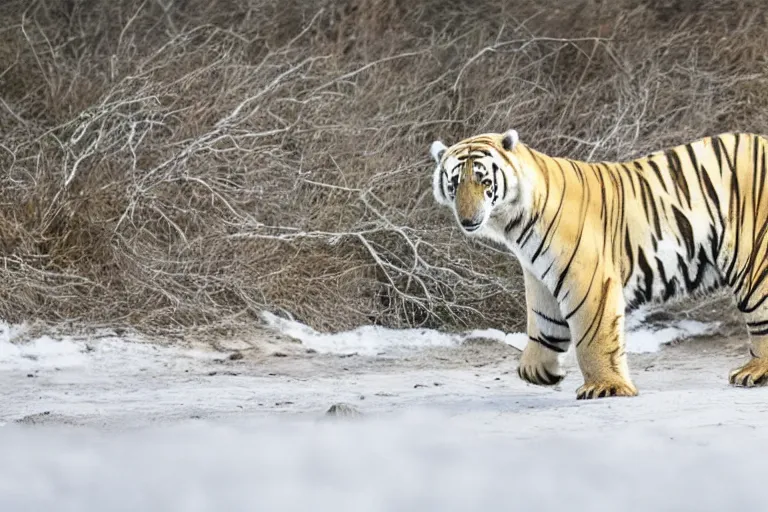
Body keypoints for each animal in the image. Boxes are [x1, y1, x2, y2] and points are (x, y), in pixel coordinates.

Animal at [428, 129, 768, 400]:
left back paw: (754, 372)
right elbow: (543, 322)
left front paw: (605, 387)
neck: (513, 224)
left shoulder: (586, 275)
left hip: (755, 259)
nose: (467, 219)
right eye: (454, 183)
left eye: (484, 181)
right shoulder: (539, 277)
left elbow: (593, 335)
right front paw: (538, 370)